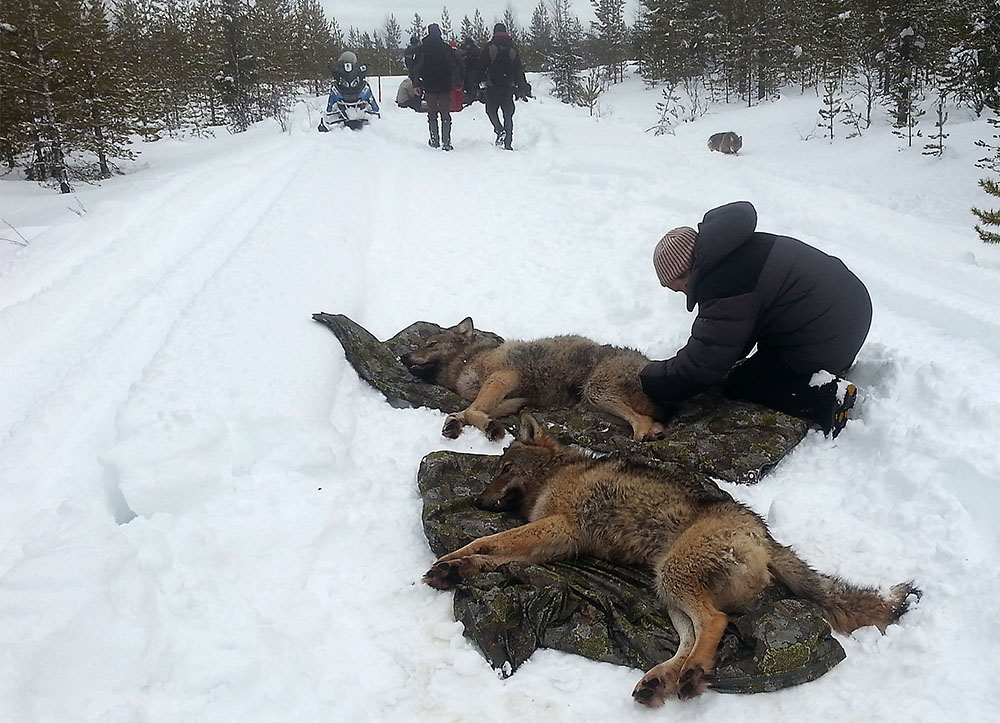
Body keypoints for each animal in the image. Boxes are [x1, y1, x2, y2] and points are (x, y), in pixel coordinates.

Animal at [422, 412, 916, 708]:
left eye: (504, 468)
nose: (478, 501)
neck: (559, 473)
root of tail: (766, 535)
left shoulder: (560, 529)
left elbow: (489, 541)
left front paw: (451, 561)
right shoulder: (555, 541)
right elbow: (495, 552)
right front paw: (458, 568)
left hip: (673, 576)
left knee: (715, 623)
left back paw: (689, 675)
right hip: (667, 588)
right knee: (694, 636)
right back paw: (663, 680)